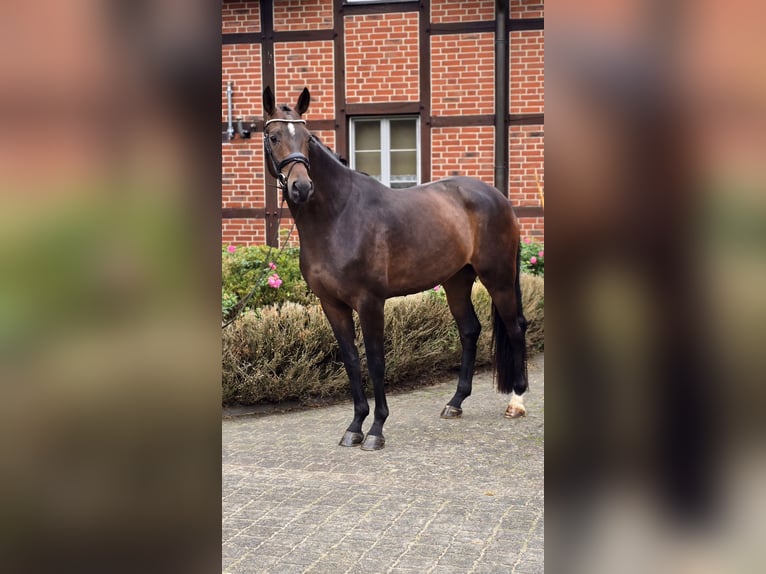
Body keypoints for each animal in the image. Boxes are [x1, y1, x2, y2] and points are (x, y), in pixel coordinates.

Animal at [262, 86, 528, 450]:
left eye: (307, 138)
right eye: (274, 136)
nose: (301, 188)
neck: (338, 216)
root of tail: (499, 198)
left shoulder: (370, 302)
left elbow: (376, 361)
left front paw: (376, 429)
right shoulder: (332, 304)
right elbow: (351, 360)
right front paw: (355, 426)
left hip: (498, 278)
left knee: (515, 327)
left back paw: (516, 401)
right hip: (456, 282)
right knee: (470, 330)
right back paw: (455, 402)